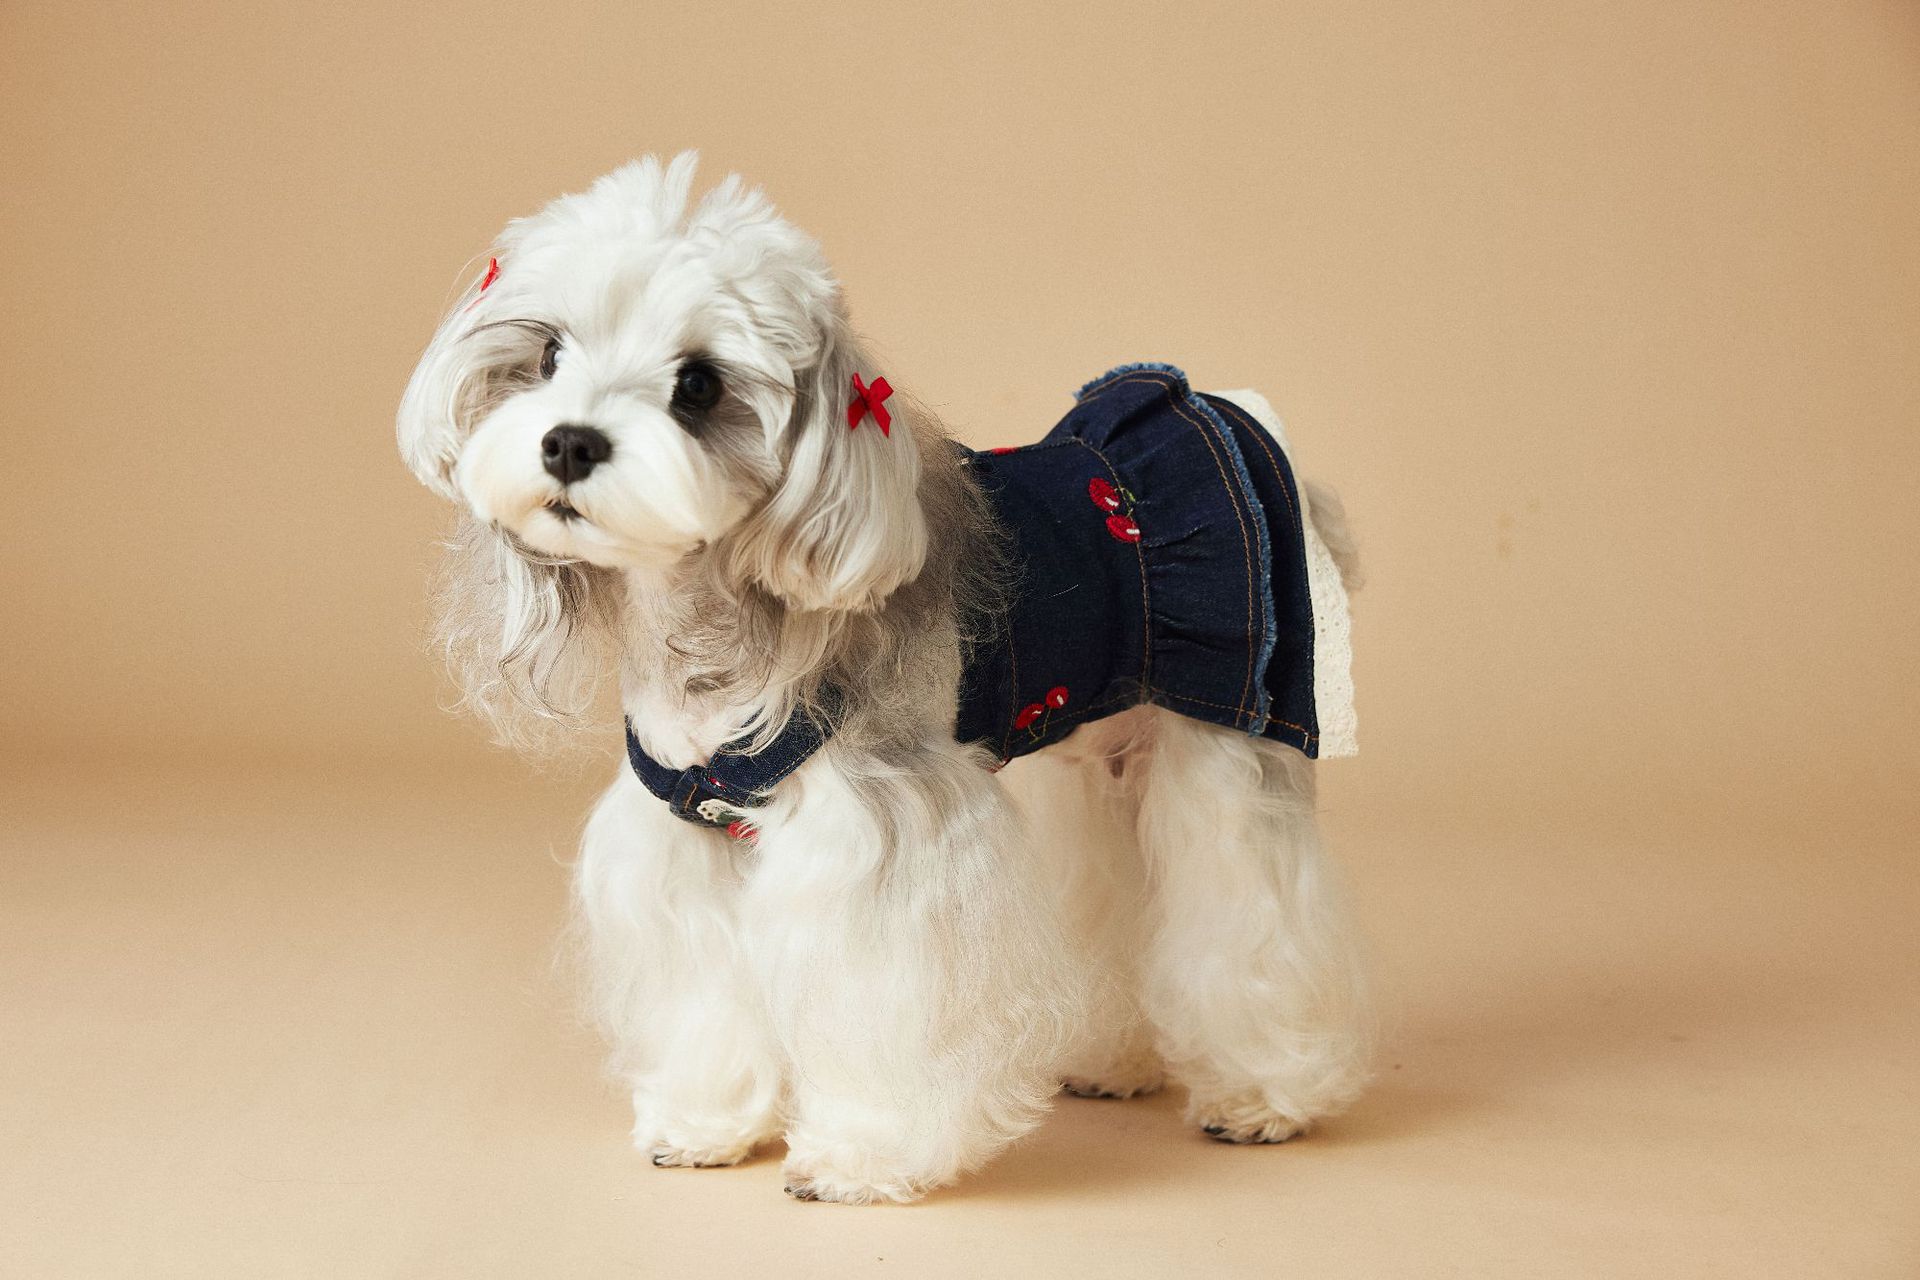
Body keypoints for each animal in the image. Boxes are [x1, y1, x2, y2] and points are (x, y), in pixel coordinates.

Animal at [397, 153, 1372, 1204]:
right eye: (546, 353)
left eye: (697, 384)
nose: (569, 442)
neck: (711, 636)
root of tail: (1216, 411)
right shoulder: (683, 839)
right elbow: (705, 997)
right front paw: (705, 1122)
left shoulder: (881, 839)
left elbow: (877, 1011)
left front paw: (863, 1154)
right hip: (1103, 747)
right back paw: (1112, 1060)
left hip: (1231, 739)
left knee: (1249, 913)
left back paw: (1267, 1094)